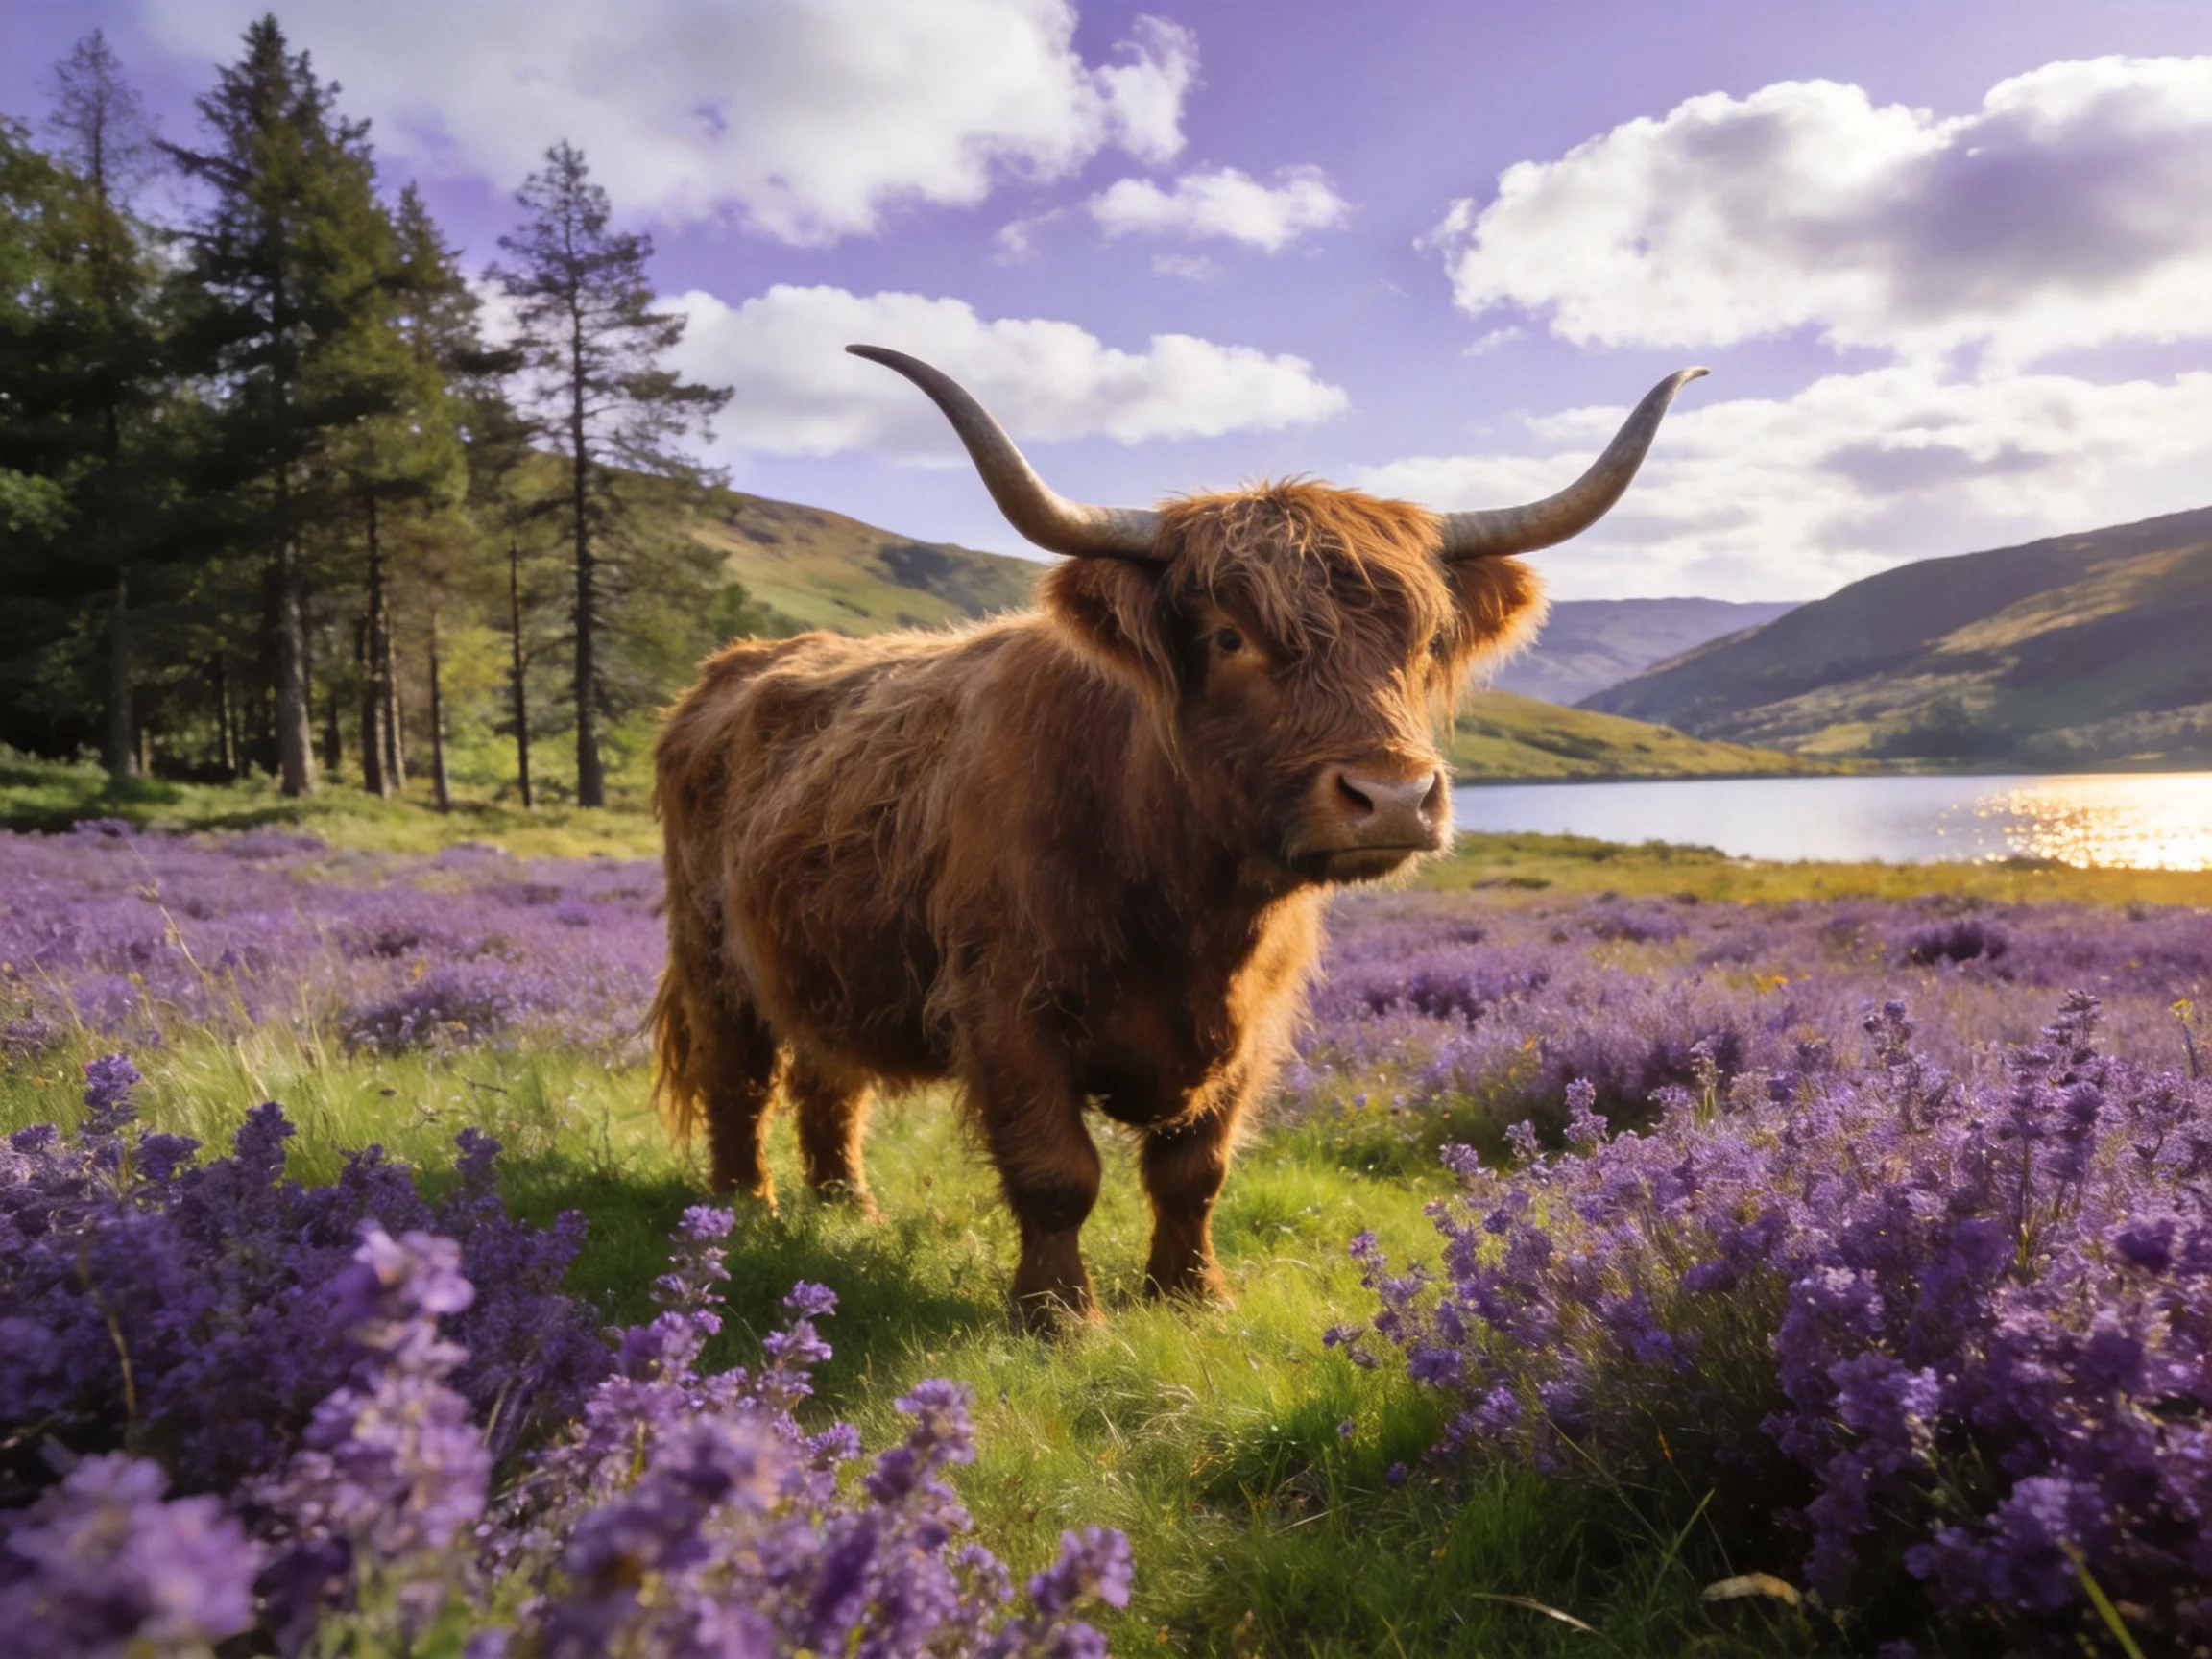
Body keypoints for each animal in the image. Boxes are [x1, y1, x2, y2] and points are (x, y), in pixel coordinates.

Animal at [652, 345, 1703, 1328]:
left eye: (1425, 641)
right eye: (1231, 636)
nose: (1394, 797)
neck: (1187, 903)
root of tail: (726, 672)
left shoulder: (1252, 1024)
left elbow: (1195, 1172)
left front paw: (1193, 1294)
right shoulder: (1006, 1008)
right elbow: (1056, 1171)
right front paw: (1059, 1316)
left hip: (821, 959)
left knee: (830, 1083)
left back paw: (848, 1210)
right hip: (714, 958)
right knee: (740, 1080)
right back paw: (742, 1215)